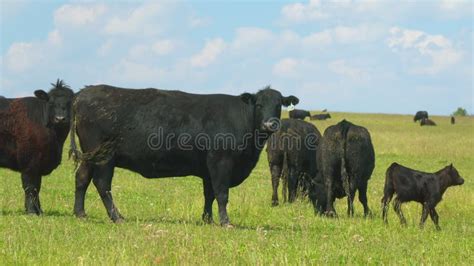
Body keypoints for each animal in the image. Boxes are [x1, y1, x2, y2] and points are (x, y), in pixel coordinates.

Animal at [0, 80, 74, 215]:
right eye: (51, 103)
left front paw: (39, 211)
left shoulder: (38, 165)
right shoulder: (29, 163)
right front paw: (31, 211)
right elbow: (30, 187)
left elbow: (37, 188)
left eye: (69, 103)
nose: (60, 119)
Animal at [68, 85, 298, 227]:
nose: (270, 124)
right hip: (104, 157)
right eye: (259, 104)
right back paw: (117, 216)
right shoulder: (221, 162)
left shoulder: (208, 168)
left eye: (279, 105)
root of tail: (83, 93)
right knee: (102, 184)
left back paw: (80, 213)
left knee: (81, 178)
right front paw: (225, 222)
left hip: (90, 156)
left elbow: (209, 195)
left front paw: (207, 219)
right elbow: (222, 194)